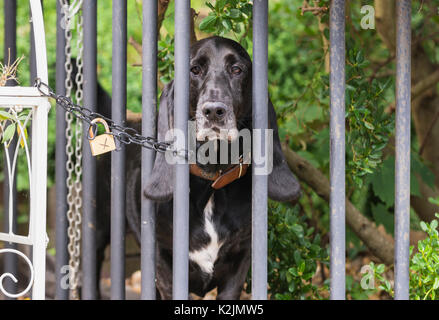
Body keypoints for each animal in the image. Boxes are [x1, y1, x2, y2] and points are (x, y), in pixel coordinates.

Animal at [95, 36, 302, 298]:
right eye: (194, 70)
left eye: (237, 69)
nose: (214, 111)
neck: (211, 179)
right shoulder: (164, 266)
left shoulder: (239, 263)